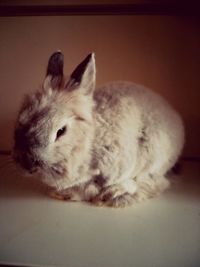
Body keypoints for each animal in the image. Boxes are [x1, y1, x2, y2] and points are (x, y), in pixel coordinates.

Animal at [12, 51, 184, 208]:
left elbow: (128, 182)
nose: (27, 163)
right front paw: (65, 194)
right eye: (21, 119)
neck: (88, 144)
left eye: (61, 131)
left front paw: (109, 196)